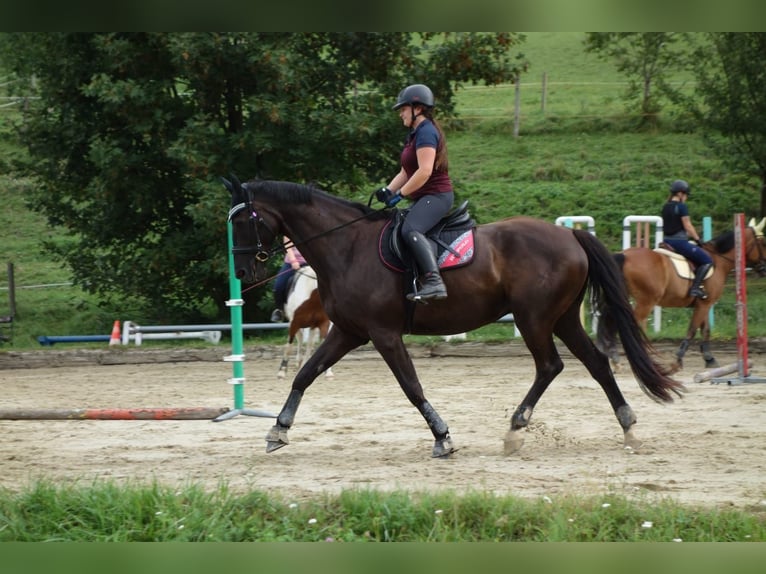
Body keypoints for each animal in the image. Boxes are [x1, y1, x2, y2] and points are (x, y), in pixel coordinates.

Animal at [224, 178, 684, 462]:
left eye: (244, 221)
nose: (241, 272)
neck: (345, 246)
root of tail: (570, 234)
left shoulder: (383, 334)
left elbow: (412, 387)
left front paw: (443, 438)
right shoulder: (351, 332)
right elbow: (306, 374)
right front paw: (278, 430)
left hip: (534, 317)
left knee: (550, 365)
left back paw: (516, 429)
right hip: (562, 318)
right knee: (596, 363)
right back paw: (628, 426)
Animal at [600, 217, 766, 374]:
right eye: (763, 243)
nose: (763, 268)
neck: (719, 260)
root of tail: (624, 255)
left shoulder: (704, 304)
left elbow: (705, 330)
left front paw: (709, 359)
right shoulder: (705, 304)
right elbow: (691, 331)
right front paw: (677, 361)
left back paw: (616, 360)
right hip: (646, 301)